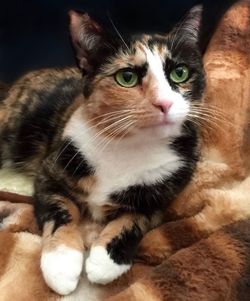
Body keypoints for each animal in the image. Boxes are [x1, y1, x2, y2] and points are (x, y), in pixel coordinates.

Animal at [0, 7, 205, 296]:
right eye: (127, 77)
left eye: (180, 73)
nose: (164, 103)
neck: (129, 145)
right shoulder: (50, 172)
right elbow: (60, 209)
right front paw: (61, 263)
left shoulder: (164, 196)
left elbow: (133, 220)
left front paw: (104, 262)